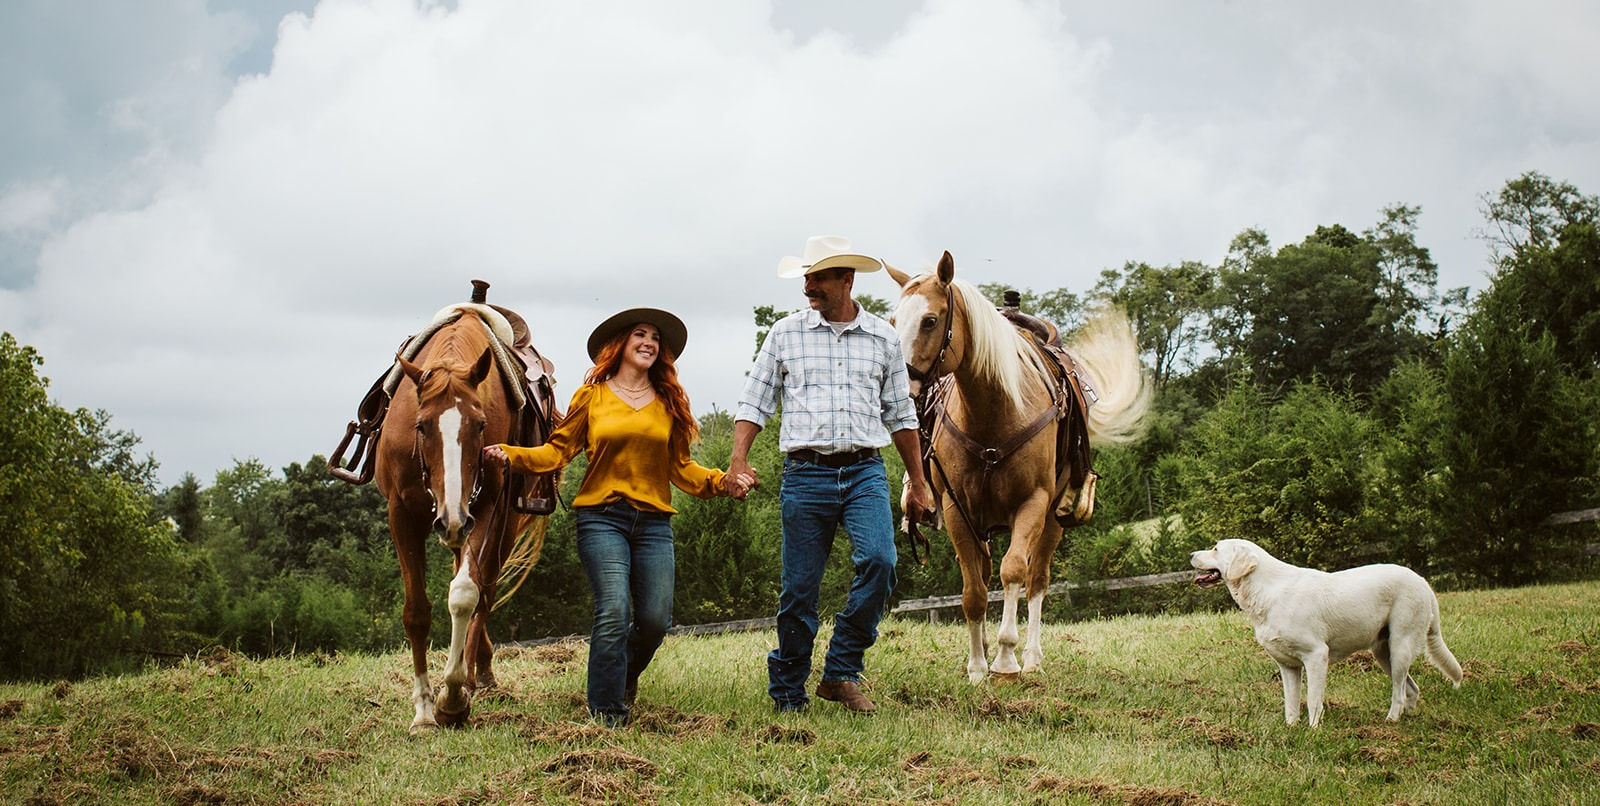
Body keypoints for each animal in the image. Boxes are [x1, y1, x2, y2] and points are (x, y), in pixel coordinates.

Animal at [374, 307, 544, 729]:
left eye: (480, 425)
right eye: (420, 426)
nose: (451, 519)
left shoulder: (484, 511)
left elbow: (465, 595)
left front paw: (452, 698)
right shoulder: (401, 515)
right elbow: (416, 611)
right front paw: (423, 710)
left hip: (500, 524)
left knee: (486, 589)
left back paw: (476, 674)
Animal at [889, 254, 1152, 684]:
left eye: (930, 320)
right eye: (894, 320)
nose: (900, 388)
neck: (994, 413)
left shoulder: (1032, 504)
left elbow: (1013, 572)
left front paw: (1006, 659)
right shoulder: (957, 511)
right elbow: (973, 591)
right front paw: (977, 666)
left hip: (1053, 522)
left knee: (1037, 579)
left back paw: (1031, 657)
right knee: (983, 575)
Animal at [1190, 537, 1465, 726]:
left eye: (1216, 549)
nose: (1191, 554)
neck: (1266, 590)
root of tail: (1422, 581)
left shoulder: (1316, 656)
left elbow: (1313, 700)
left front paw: (1314, 731)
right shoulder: (1288, 666)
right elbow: (1291, 704)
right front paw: (1291, 729)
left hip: (1400, 646)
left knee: (1398, 692)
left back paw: (1390, 721)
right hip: (1383, 653)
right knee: (1411, 689)